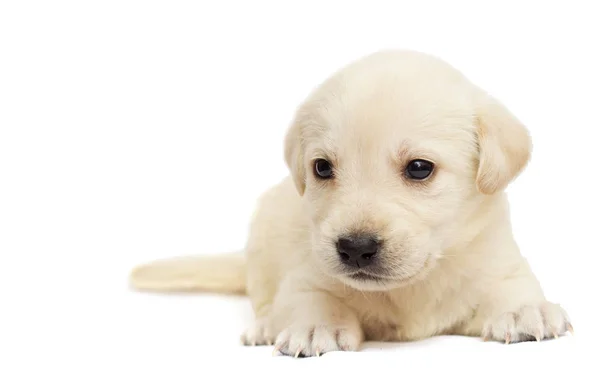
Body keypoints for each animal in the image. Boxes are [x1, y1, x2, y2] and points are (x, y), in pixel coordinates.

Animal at [131, 49, 572, 358]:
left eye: (419, 168)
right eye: (322, 167)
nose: (355, 248)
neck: (413, 287)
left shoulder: (498, 260)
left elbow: (511, 286)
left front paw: (523, 310)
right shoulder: (305, 271)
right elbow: (310, 297)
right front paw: (315, 325)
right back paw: (264, 326)